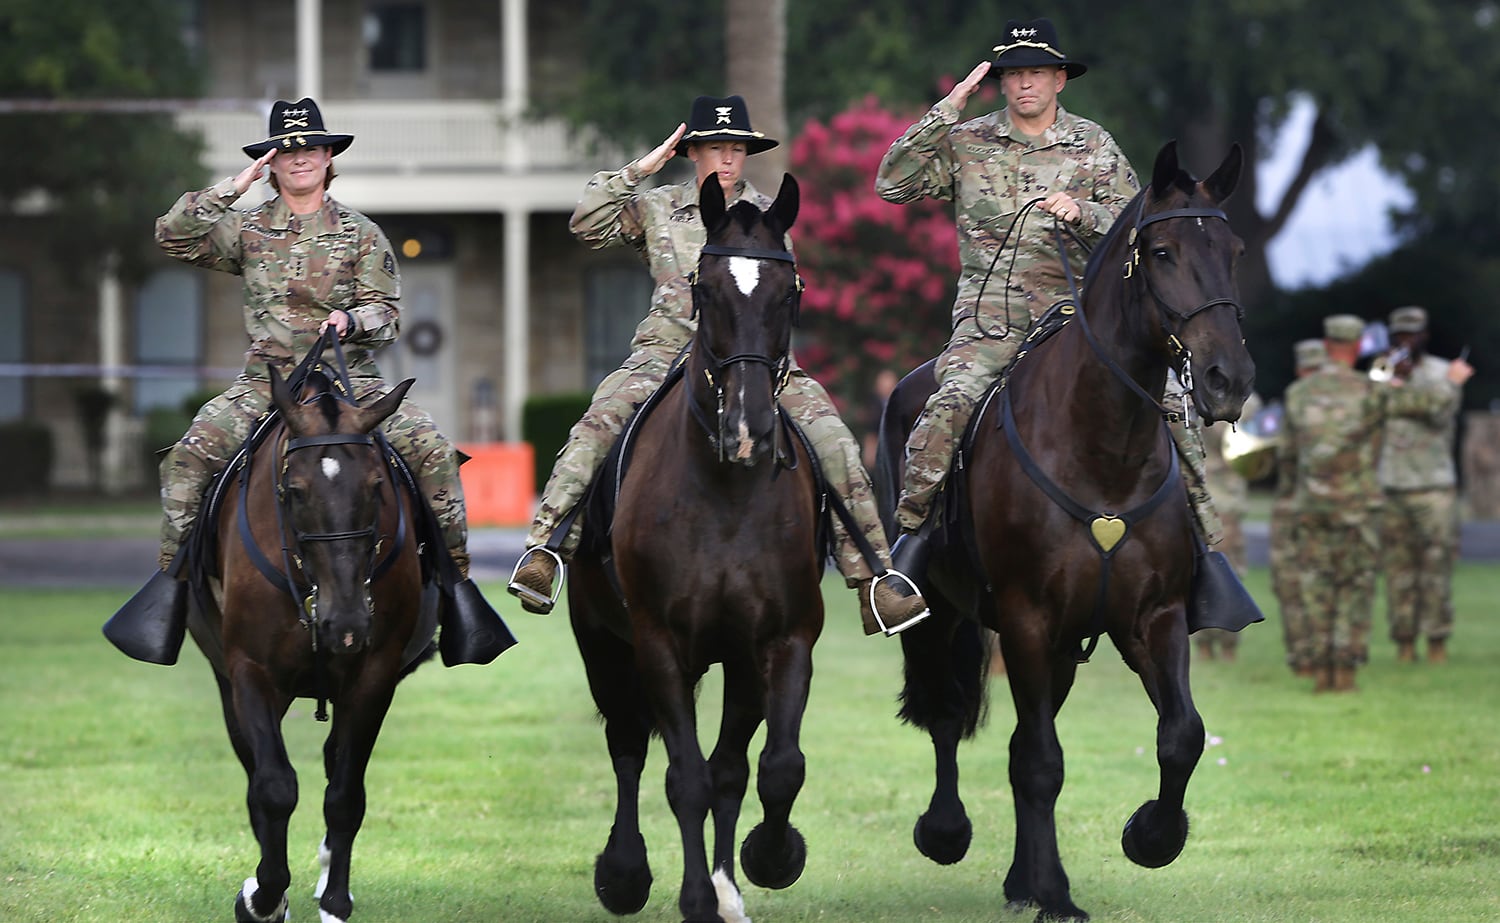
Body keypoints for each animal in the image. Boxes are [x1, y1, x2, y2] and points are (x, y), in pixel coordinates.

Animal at [564, 173, 822, 923]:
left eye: (788, 291)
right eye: (704, 288)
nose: (749, 427)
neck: (726, 493)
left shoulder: (779, 640)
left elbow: (770, 767)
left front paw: (767, 859)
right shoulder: (657, 645)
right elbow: (685, 778)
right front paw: (695, 897)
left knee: (729, 764)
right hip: (602, 644)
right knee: (627, 745)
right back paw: (624, 871)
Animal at [876, 141, 1254, 918]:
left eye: (1232, 251)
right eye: (1163, 251)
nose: (1228, 377)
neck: (1103, 446)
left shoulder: (1151, 616)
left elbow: (1181, 735)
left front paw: (1150, 836)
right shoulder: (1027, 618)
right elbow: (1042, 760)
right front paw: (1054, 890)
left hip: (1062, 649)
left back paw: (1020, 878)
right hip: (946, 616)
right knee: (948, 714)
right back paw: (948, 831)